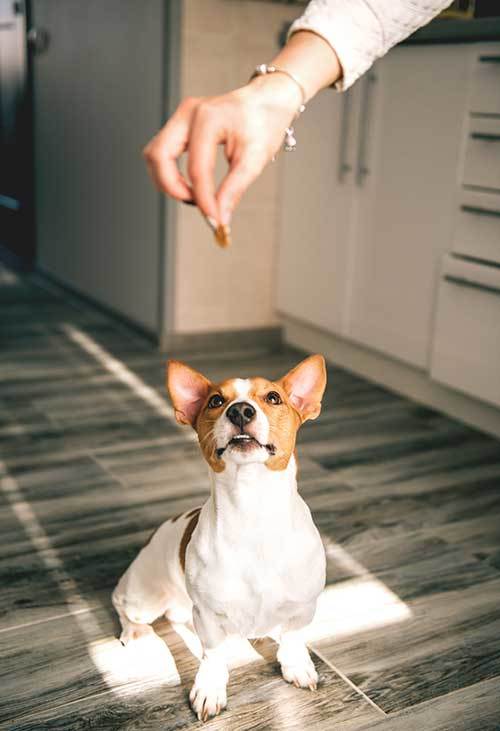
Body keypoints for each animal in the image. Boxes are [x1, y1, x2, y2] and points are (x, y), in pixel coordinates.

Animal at [111, 354, 326, 720]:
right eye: (215, 401)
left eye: (273, 398)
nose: (240, 411)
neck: (252, 508)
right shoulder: (208, 617)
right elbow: (212, 655)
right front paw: (210, 689)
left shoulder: (303, 606)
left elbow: (293, 638)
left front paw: (296, 665)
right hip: (143, 598)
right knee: (121, 605)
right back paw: (137, 633)